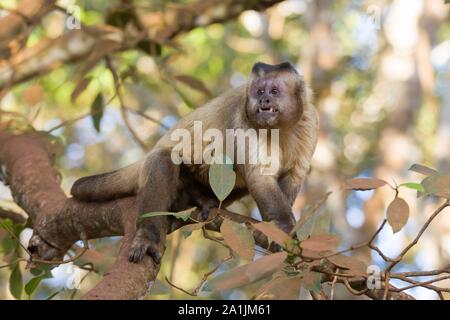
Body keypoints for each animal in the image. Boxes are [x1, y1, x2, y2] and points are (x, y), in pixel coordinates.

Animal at [71, 61, 320, 264]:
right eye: (260, 91)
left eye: (274, 91)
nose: (263, 99)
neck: (280, 128)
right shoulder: (244, 121)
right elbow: (260, 178)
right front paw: (284, 230)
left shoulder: (310, 122)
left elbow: (293, 177)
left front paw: (279, 231)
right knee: (164, 159)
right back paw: (150, 235)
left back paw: (201, 198)